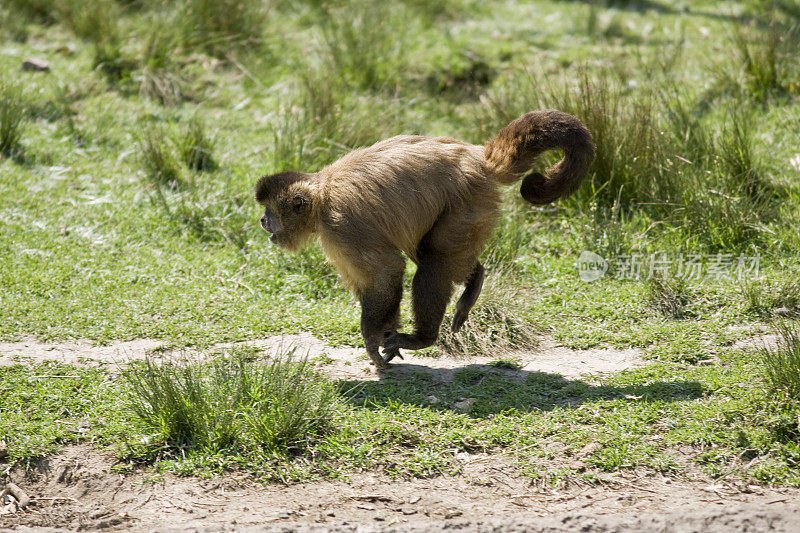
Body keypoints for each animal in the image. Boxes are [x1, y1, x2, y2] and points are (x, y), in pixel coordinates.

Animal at [255, 106, 592, 368]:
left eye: (270, 211)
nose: (262, 220)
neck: (321, 195)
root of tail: (478, 157)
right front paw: (386, 336)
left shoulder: (342, 226)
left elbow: (386, 273)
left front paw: (372, 339)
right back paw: (476, 277)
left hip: (467, 200)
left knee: (435, 260)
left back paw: (424, 336)